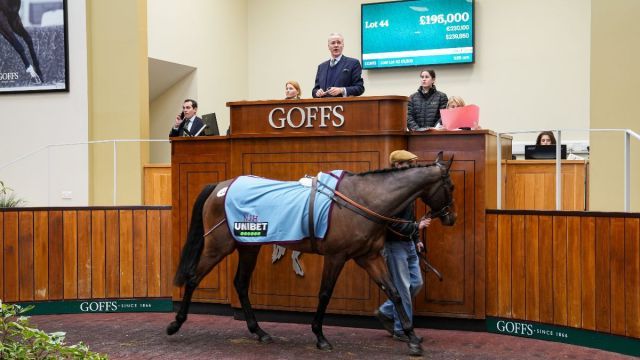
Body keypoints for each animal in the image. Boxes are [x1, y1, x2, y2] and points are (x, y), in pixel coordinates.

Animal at [165, 152, 456, 358]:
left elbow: (394, 292)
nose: (451, 218)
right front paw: (320, 336)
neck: (362, 199)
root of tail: (220, 187)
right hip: (218, 246)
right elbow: (325, 293)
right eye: (451, 186)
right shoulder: (337, 256)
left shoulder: (369, 257)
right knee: (193, 278)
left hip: (249, 246)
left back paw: (259, 331)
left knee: (241, 284)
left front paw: (412, 338)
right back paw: (175, 324)